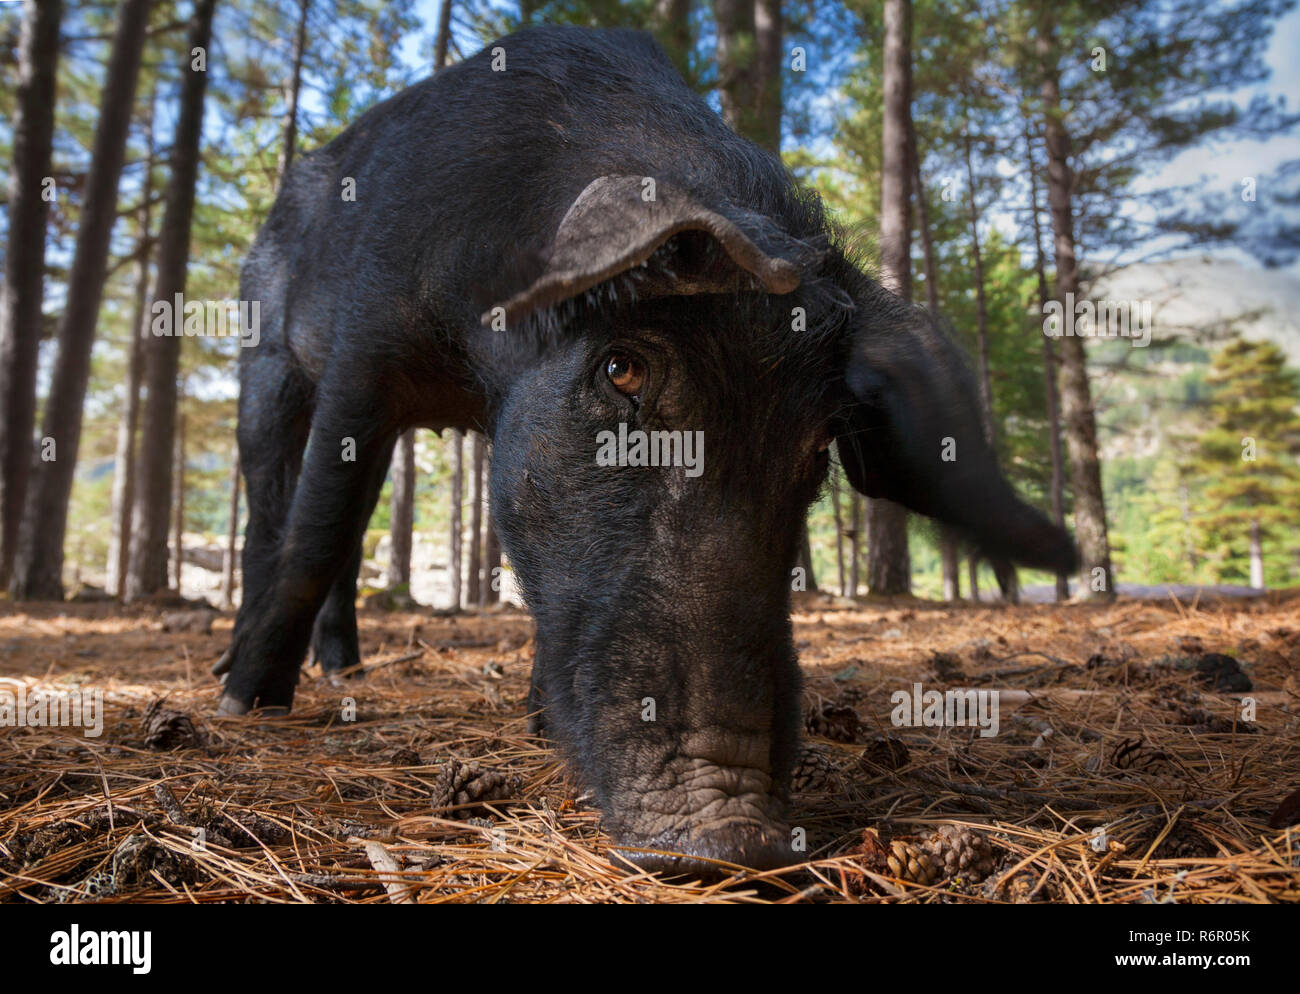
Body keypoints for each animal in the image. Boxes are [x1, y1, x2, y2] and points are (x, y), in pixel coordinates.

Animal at [220, 25, 1076, 878]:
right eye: (622, 368)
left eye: (813, 450)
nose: (731, 836)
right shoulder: (364, 351)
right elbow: (315, 534)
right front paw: (250, 706)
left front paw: (537, 725)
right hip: (263, 356)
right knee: (276, 513)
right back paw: (243, 681)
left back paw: (348, 672)